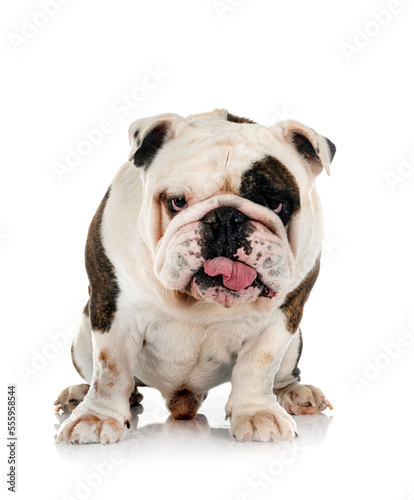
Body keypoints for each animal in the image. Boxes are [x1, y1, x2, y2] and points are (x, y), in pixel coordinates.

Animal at [55, 109, 335, 444]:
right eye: (177, 201)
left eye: (275, 203)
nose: (226, 218)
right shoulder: (114, 310)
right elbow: (111, 369)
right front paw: (97, 417)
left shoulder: (282, 316)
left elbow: (258, 365)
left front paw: (257, 413)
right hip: (83, 336)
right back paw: (80, 394)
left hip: (294, 345)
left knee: (283, 375)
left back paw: (296, 393)